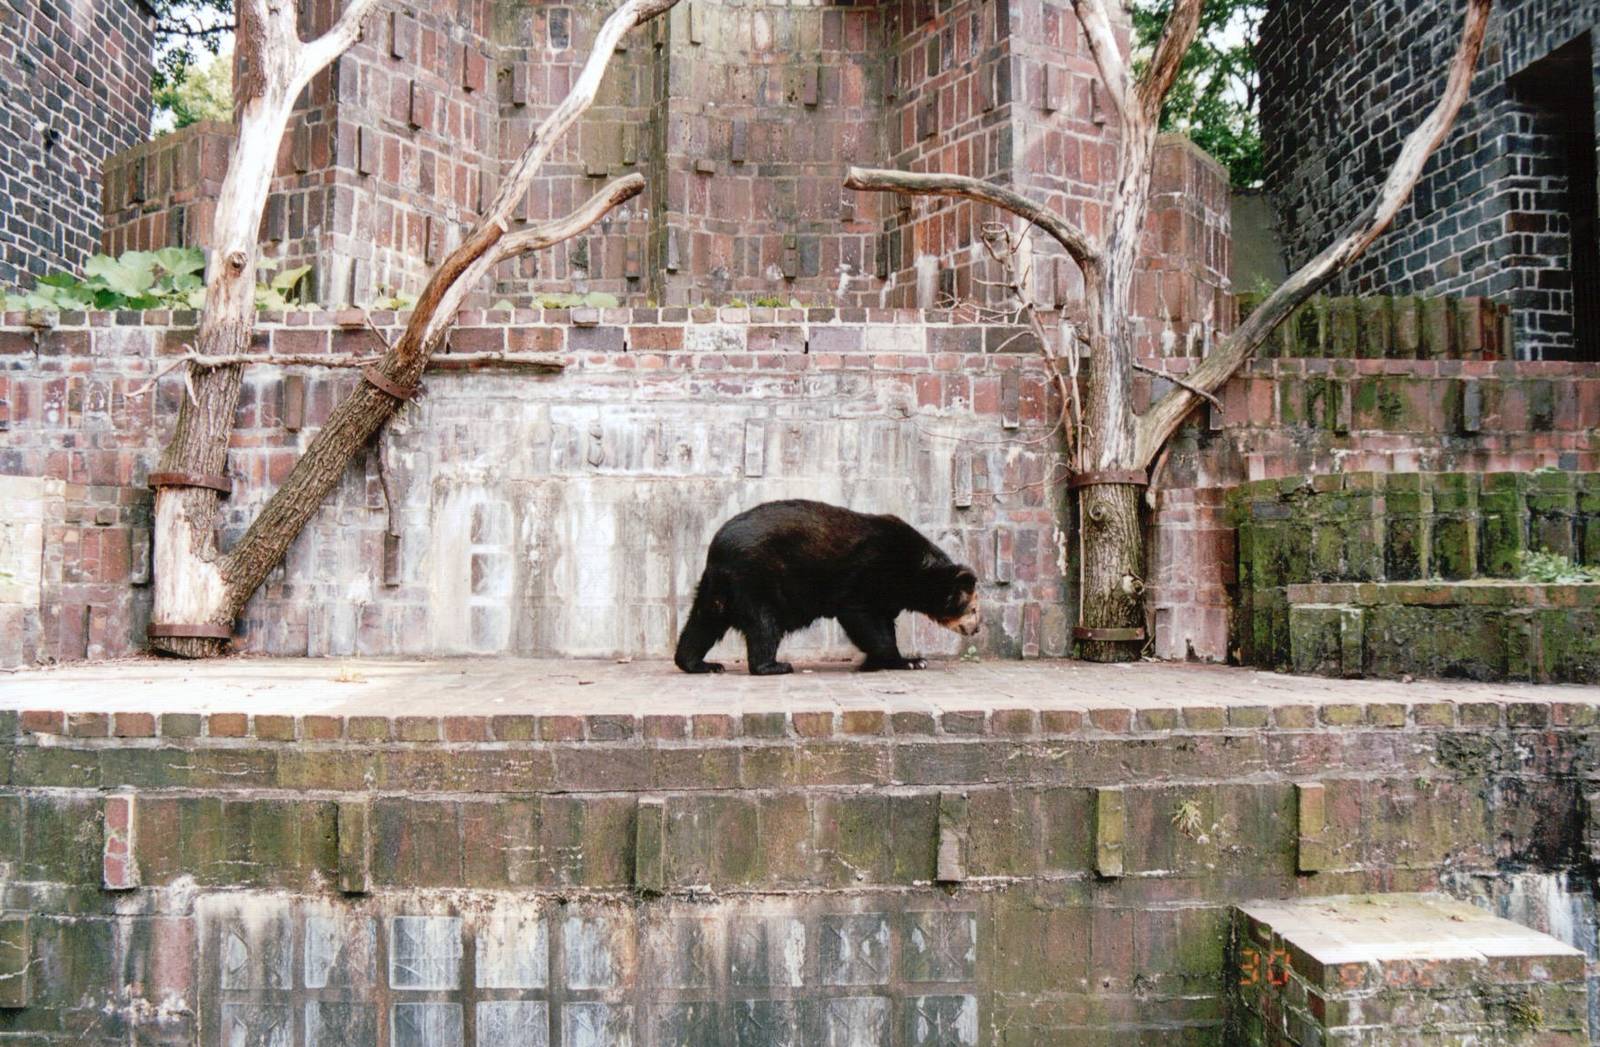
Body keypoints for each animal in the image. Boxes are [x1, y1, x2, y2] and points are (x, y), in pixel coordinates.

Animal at [673, 499, 981, 675]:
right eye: (974, 609)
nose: (976, 629)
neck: (913, 574)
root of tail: (717, 547)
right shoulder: (870, 569)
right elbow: (862, 616)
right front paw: (908, 660)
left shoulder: (889, 592)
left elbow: (882, 620)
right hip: (757, 577)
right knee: (764, 623)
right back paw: (774, 665)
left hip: (718, 586)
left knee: (704, 621)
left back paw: (699, 663)